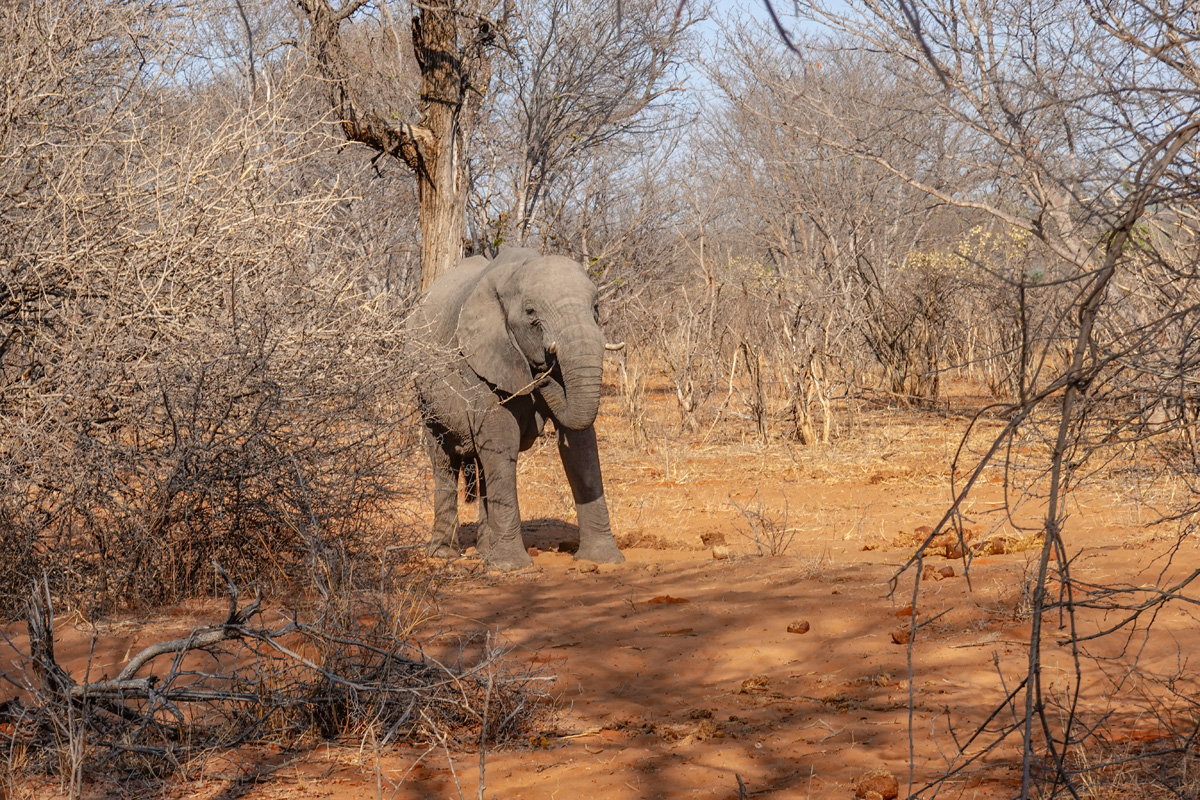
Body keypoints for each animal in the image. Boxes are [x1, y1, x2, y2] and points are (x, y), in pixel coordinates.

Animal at [407, 246, 625, 570]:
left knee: (483, 463)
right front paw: (512, 568)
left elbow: (580, 444)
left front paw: (605, 559)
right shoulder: (479, 359)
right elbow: (501, 439)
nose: (543, 373)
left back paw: (486, 551)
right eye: (531, 312)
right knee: (444, 459)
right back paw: (444, 554)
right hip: (424, 394)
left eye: (595, 306)